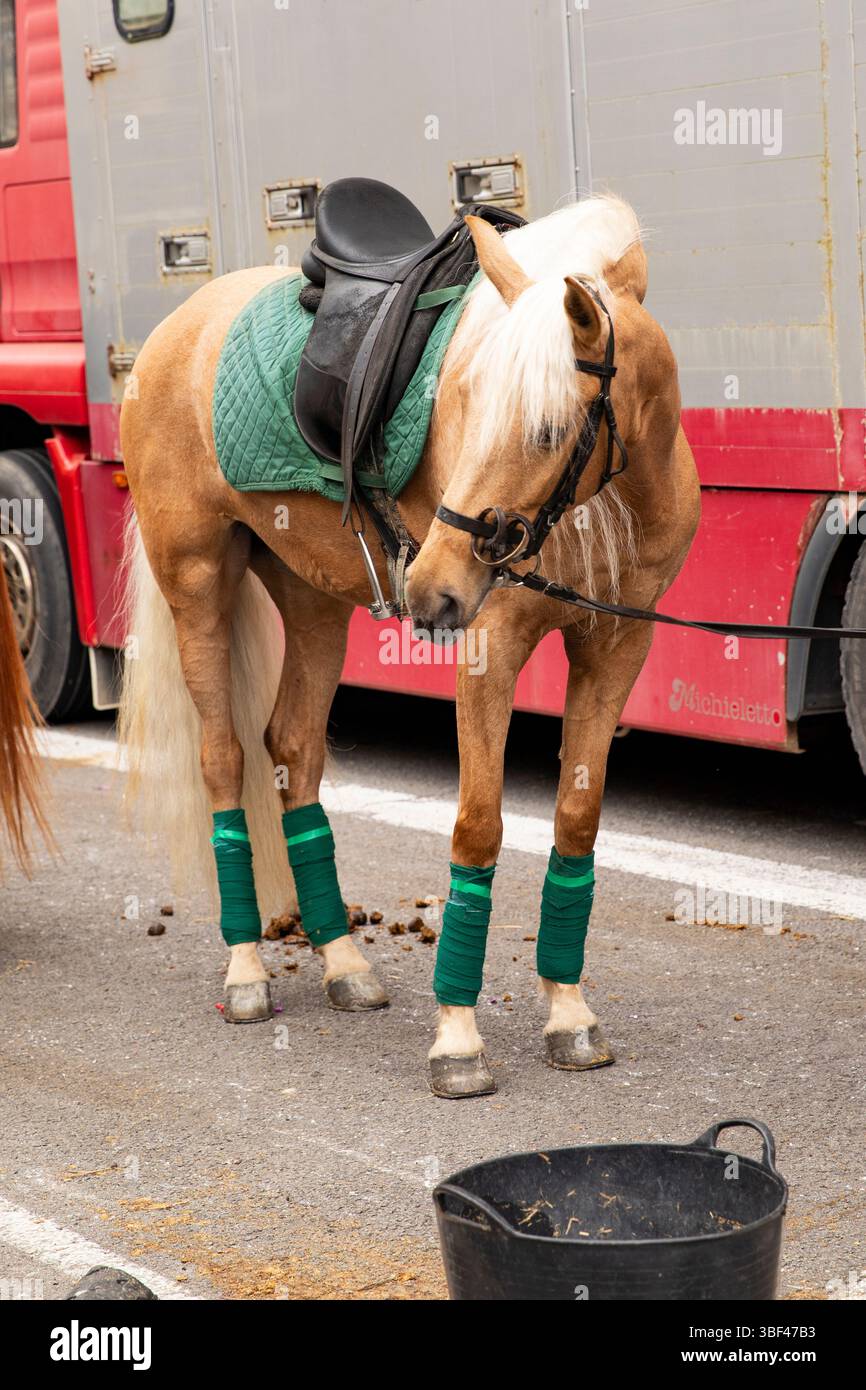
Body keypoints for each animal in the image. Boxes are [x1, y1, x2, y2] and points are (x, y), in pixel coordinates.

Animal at [118, 194, 699, 1098]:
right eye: (468, 405)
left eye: (546, 431)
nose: (432, 587)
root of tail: (175, 330)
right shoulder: (492, 645)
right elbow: (478, 830)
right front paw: (457, 1035)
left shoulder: (617, 644)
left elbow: (576, 819)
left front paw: (568, 1013)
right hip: (197, 584)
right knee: (223, 759)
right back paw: (246, 967)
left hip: (313, 598)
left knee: (294, 753)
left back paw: (341, 959)